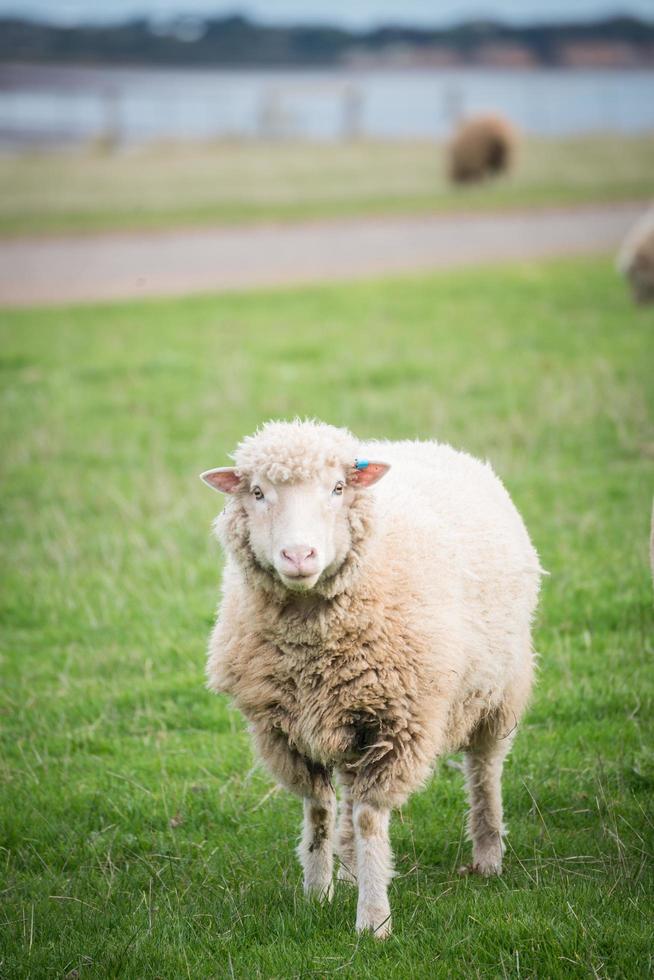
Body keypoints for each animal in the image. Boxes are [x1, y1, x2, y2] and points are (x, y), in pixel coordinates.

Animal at [201, 418, 544, 936]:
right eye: (258, 492)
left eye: (338, 488)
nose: (298, 555)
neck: (313, 650)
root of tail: (425, 442)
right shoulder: (285, 727)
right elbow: (320, 811)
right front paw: (317, 894)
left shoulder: (400, 723)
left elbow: (367, 818)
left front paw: (374, 920)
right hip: (346, 718)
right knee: (346, 795)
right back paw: (347, 868)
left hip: (499, 688)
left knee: (484, 770)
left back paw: (487, 855)